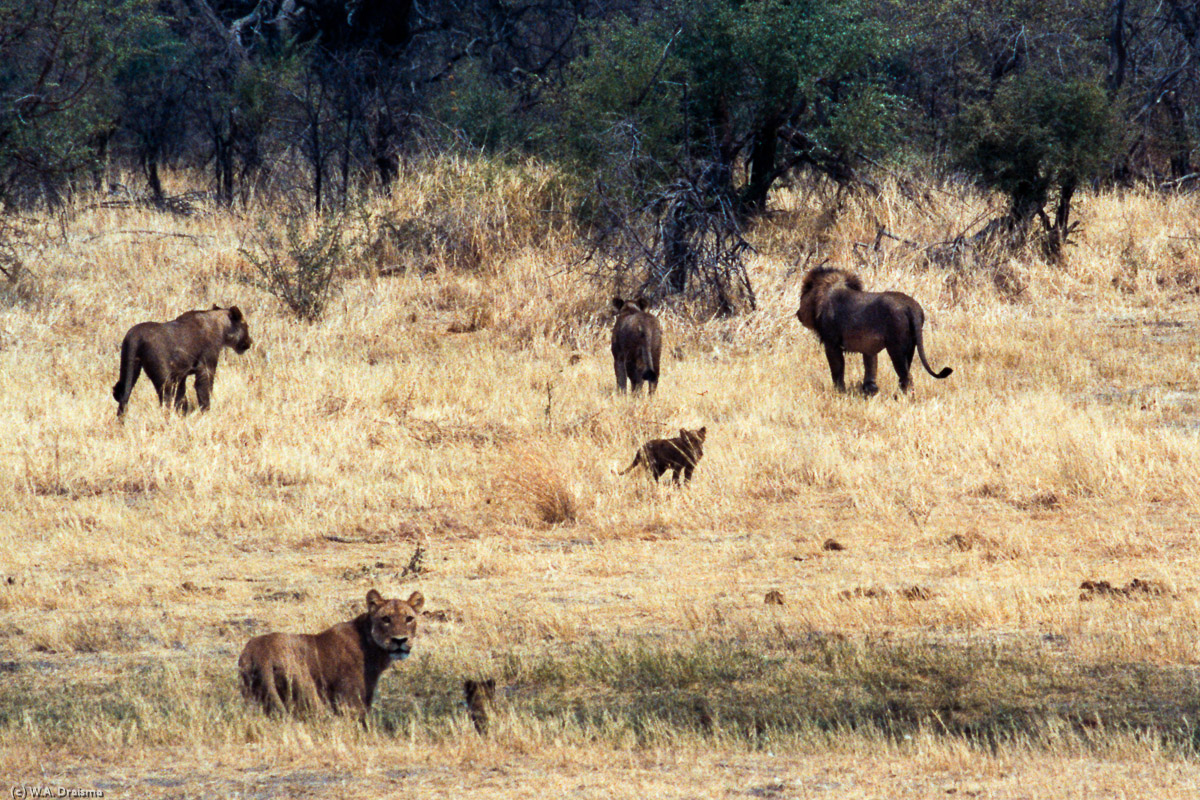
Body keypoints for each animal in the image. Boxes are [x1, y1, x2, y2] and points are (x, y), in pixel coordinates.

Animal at [113, 304, 252, 419]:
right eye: (246, 326)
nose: (250, 342)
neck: (220, 327)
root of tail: (134, 335)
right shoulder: (206, 367)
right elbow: (204, 391)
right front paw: (206, 414)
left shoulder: (180, 375)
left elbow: (181, 398)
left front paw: (183, 415)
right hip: (164, 378)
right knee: (165, 400)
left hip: (130, 368)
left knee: (122, 396)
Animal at [236, 585, 424, 724]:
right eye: (386, 619)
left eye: (409, 618)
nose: (399, 640)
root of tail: (261, 653)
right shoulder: (349, 701)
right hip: (309, 693)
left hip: (252, 696)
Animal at [796, 267, 955, 395]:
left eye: (802, 295)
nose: (797, 314)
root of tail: (912, 306)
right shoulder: (869, 348)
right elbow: (870, 370)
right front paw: (869, 391)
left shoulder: (832, 344)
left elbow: (837, 371)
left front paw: (839, 393)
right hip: (910, 348)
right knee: (906, 375)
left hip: (896, 348)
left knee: (906, 377)